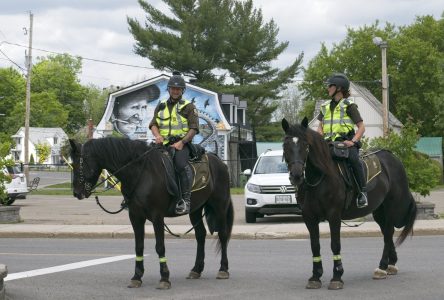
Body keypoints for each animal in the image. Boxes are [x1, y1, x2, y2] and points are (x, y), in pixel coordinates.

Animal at [69, 137, 234, 290]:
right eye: (72, 164)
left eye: (79, 165)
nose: (77, 193)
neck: (140, 173)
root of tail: (220, 162)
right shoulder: (135, 217)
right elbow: (139, 246)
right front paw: (136, 277)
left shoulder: (157, 216)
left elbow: (160, 246)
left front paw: (164, 278)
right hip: (195, 209)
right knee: (200, 235)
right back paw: (196, 270)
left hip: (219, 206)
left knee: (222, 234)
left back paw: (223, 269)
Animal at [280, 118, 416, 290]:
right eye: (285, 145)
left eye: (306, 145)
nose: (296, 176)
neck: (319, 178)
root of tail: (393, 158)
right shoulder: (309, 217)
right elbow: (315, 245)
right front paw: (315, 276)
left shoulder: (334, 215)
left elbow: (335, 244)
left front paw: (337, 276)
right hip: (379, 211)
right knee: (387, 232)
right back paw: (390, 264)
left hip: (391, 207)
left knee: (388, 233)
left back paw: (382, 266)